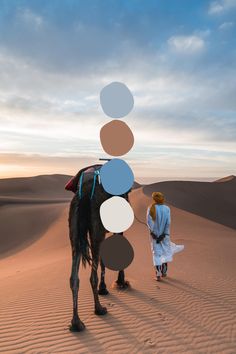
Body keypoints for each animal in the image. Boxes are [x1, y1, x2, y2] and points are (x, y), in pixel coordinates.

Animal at [67, 165, 130, 330]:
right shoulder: (117, 227)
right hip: (97, 228)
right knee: (92, 276)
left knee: (74, 277)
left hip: (75, 231)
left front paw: (104, 288)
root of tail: (84, 194)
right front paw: (121, 282)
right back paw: (99, 309)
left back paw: (76, 322)